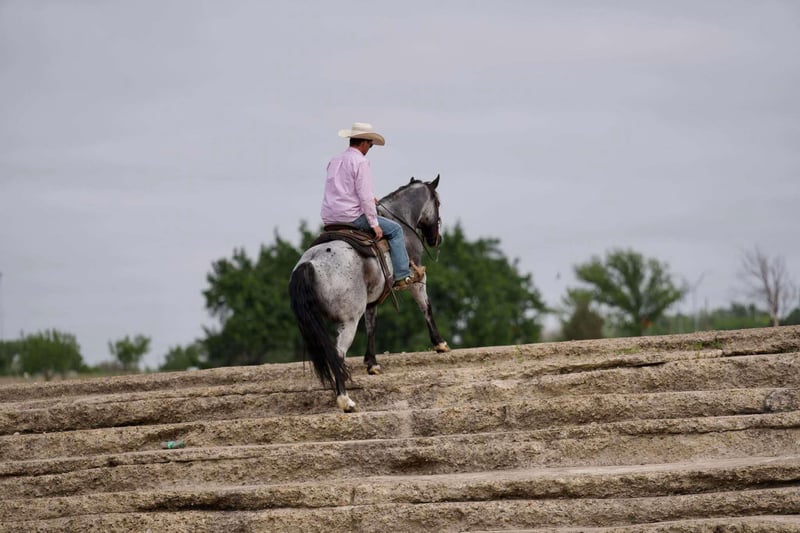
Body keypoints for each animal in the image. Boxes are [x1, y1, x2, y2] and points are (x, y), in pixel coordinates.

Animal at [289, 175, 449, 412]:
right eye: (437, 203)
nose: (436, 240)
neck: (401, 220)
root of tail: (310, 263)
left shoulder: (371, 299)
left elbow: (372, 325)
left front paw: (372, 364)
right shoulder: (417, 279)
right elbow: (425, 307)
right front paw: (440, 343)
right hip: (348, 321)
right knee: (338, 354)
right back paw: (345, 400)